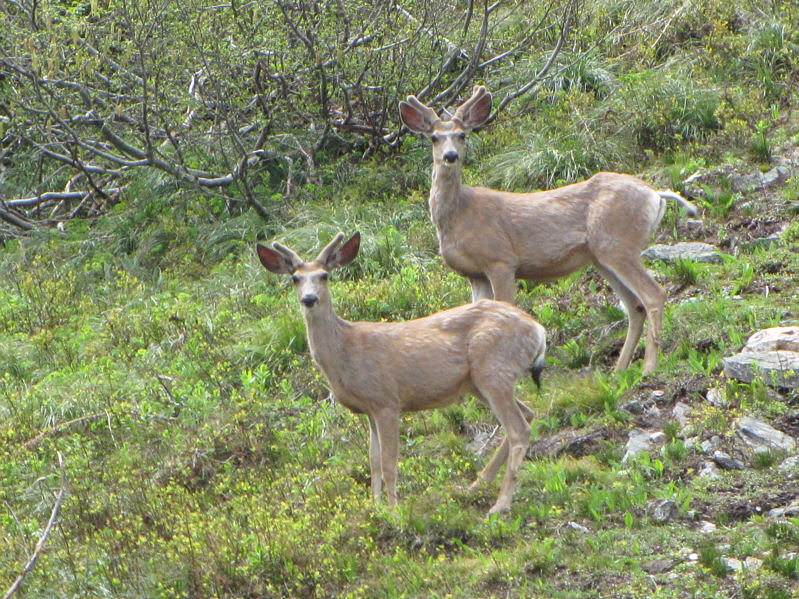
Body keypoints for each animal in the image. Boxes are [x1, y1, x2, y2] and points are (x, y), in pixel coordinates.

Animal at [256, 231, 546, 515]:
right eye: (295, 278)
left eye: (324, 275)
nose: (309, 299)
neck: (346, 351)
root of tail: (538, 330)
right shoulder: (369, 408)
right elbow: (372, 459)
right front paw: (375, 509)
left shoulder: (387, 400)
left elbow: (388, 462)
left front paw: (395, 513)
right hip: (481, 381)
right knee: (528, 414)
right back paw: (475, 486)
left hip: (493, 369)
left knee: (518, 429)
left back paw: (500, 505)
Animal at [399, 86, 697, 376]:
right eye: (434, 138)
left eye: (462, 135)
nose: (450, 156)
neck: (460, 214)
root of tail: (655, 194)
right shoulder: (475, 275)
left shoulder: (501, 260)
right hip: (602, 256)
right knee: (634, 307)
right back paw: (618, 371)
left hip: (618, 243)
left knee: (654, 295)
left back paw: (648, 369)